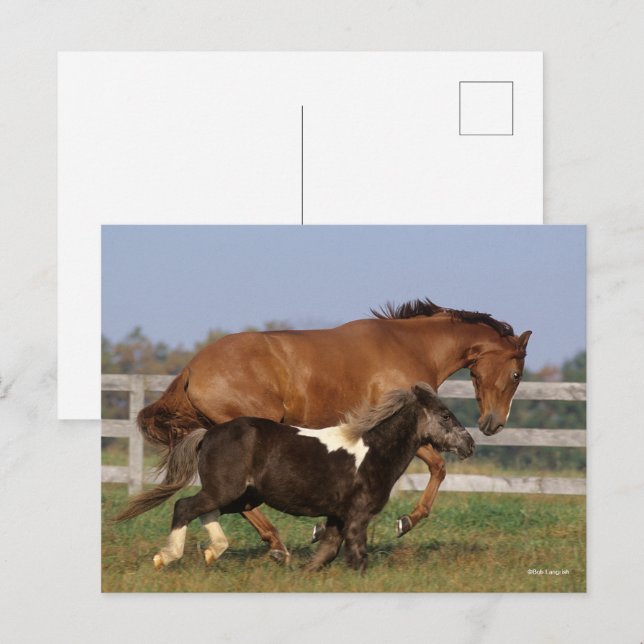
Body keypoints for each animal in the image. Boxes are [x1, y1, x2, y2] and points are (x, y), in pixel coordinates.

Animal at [117, 383, 475, 572]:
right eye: (445, 415)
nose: (469, 444)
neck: (372, 452)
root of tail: (208, 433)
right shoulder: (358, 515)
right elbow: (356, 555)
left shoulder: (337, 515)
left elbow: (326, 552)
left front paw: (302, 573)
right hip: (226, 489)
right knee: (184, 507)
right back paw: (167, 557)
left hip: (241, 495)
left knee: (206, 511)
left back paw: (212, 551)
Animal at [135, 298, 531, 562]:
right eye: (516, 374)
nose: (494, 423)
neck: (410, 347)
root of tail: (191, 369)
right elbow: (439, 467)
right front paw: (405, 522)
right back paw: (273, 546)